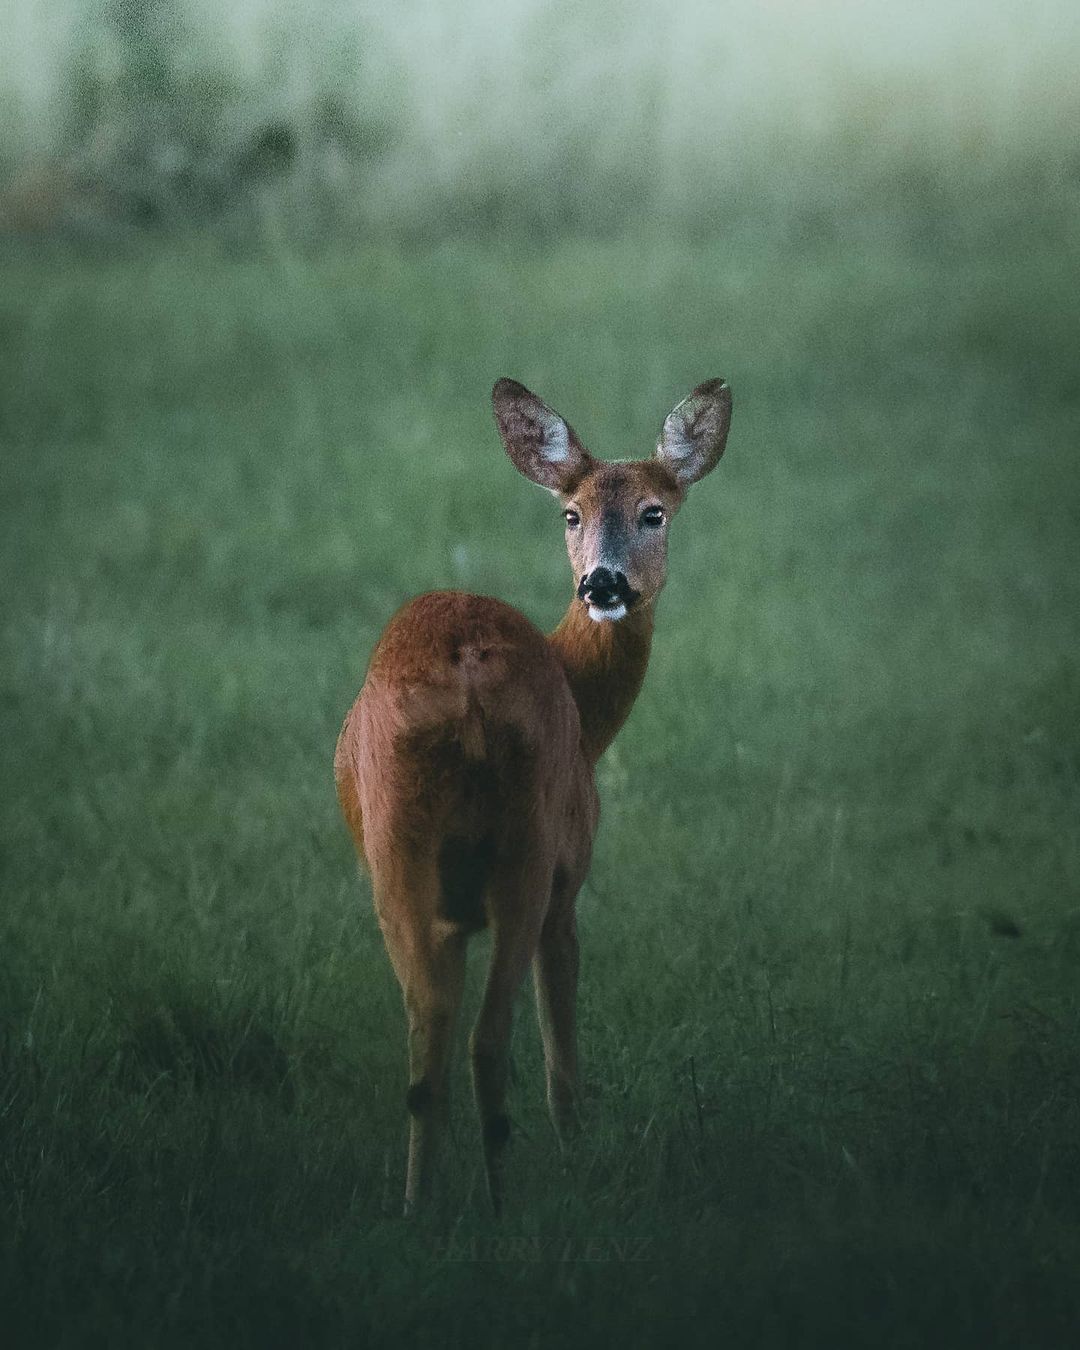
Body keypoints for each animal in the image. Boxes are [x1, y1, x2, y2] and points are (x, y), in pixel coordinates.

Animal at [333, 375, 729, 1209]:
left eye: (654, 511)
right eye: (570, 513)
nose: (603, 582)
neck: (585, 705)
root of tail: (467, 682)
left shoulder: (446, 912)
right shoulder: (569, 877)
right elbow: (561, 1049)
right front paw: (577, 1148)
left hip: (395, 846)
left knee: (429, 1038)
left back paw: (419, 1206)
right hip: (529, 842)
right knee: (488, 1040)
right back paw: (504, 1200)